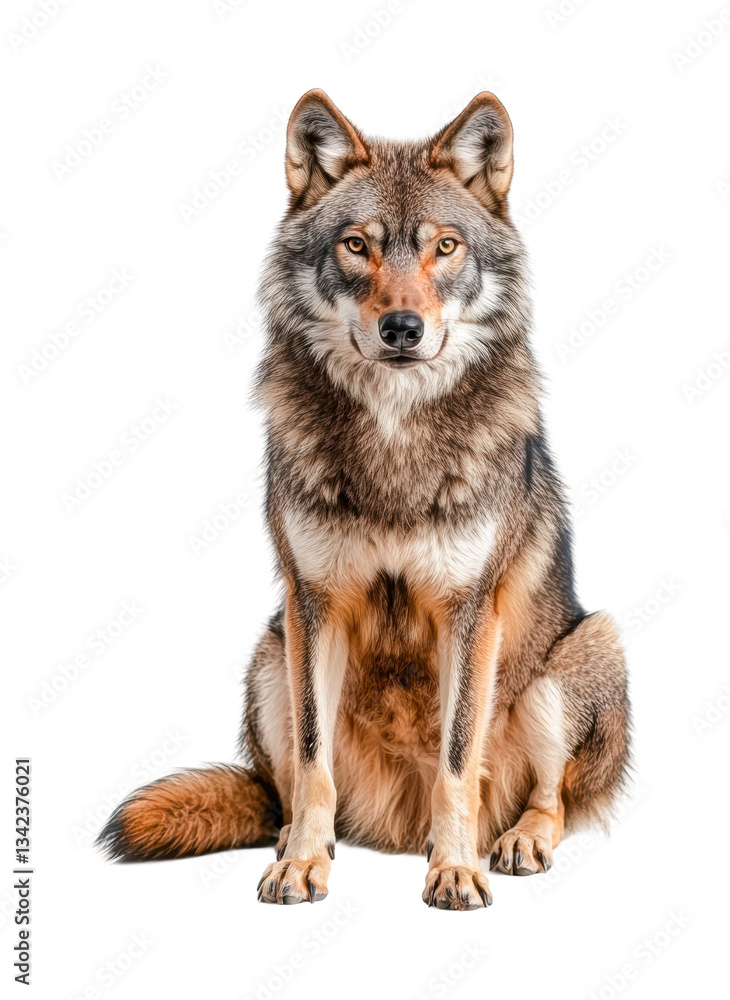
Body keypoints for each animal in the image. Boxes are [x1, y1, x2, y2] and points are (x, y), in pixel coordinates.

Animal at [98, 90, 631, 910]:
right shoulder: (314, 602)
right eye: (357, 246)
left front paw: (456, 868)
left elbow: (457, 762)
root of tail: (394, 828)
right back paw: (296, 837)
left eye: (445, 247)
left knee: (553, 799)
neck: (394, 440)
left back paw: (513, 842)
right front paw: (302, 866)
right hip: (270, 656)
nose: (402, 328)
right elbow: (313, 761)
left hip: (580, 655)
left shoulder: (469, 613)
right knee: (284, 788)